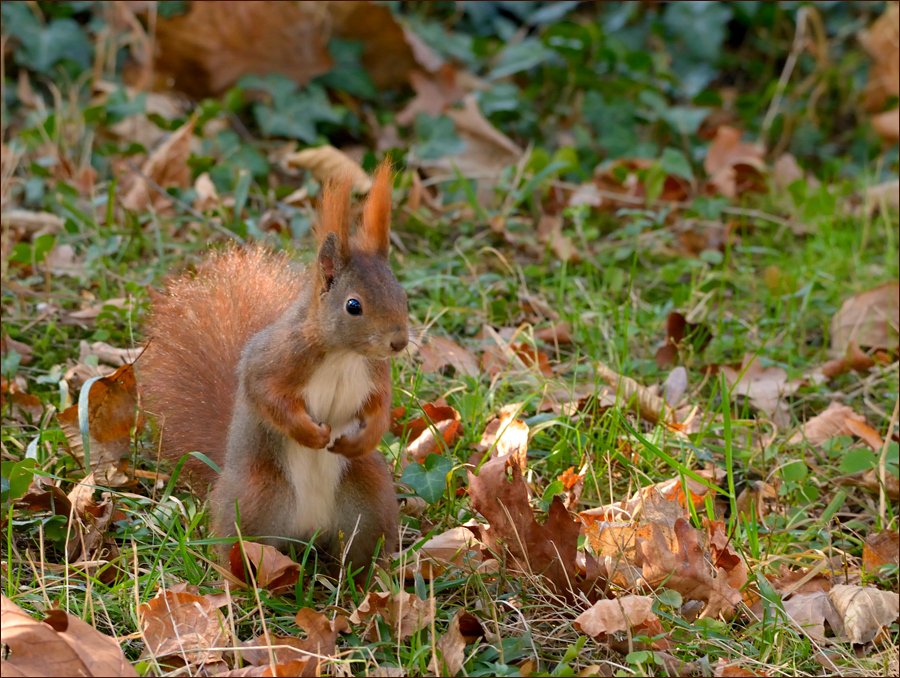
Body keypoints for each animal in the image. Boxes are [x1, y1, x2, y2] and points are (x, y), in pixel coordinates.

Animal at [139, 162, 406, 572]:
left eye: (402, 294)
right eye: (353, 306)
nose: (399, 342)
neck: (344, 355)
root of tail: (307, 531)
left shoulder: (375, 375)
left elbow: (380, 408)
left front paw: (363, 438)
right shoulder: (276, 359)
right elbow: (265, 394)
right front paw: (312, 434)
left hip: (370, 498)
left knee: (361, 551)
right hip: (254, 500)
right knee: (240, 549)